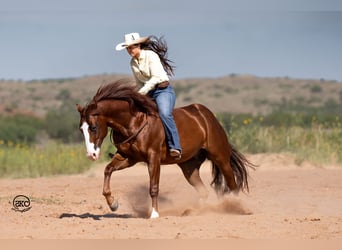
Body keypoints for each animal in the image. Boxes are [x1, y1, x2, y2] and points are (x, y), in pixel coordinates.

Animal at [77, 79, 254, 218]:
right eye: (81, 129)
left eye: (93, 127)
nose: (91, 155)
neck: (134, 122)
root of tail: (207, 116)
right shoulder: (128, 158)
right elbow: (108, 170)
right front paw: (113, 203)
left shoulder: (153, 158)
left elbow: (153, 187)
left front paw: (154, 214)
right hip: (189, 167)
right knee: (204, 191)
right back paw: (192, 211)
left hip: (220, 156)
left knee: (232, 183)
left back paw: (239, 208)